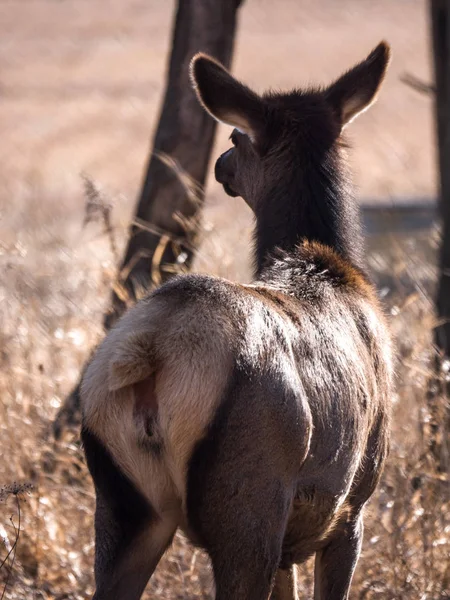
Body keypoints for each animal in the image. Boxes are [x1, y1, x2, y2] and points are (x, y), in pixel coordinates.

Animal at [81, 42, 394, 600]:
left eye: (233, 138)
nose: (221, 165)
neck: (329, 262)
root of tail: (151, 355)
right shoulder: (353, 504)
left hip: (121, 498)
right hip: (251, 495)